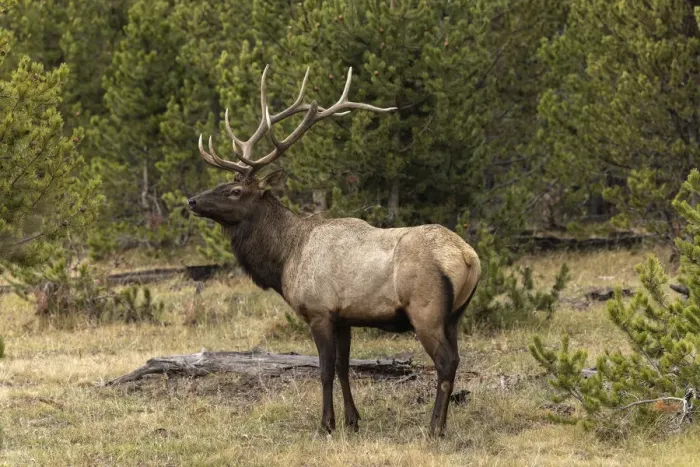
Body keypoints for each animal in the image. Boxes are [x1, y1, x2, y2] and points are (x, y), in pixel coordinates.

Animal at [187, 65, 481, 437]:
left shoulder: (319, 311)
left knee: (445, 362)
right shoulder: (344, 317)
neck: (284, 259)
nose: (192, 200)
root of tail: (468, 257)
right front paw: (353, 421)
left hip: (425, 309)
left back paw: (433, 428)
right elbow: (344, 367)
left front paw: (326, 424)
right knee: (456, 358)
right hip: (456, 314)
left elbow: (324, 369)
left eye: (236, 190)